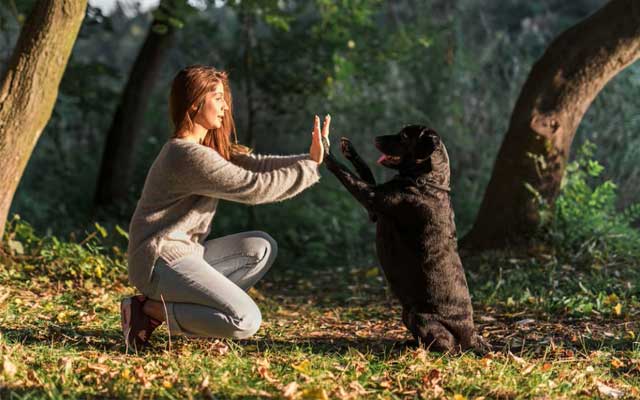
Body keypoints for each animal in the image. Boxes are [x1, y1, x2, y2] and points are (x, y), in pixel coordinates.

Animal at [322, 126, 488, 354]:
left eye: (403, 136)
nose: (376, 138)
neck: (427, 182)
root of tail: (472, 337)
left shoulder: (371, 197)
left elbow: (348, 174)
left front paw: (325, 152)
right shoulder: (373, 211)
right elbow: (365, 170)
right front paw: (349, 149)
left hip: (419, 317)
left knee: (448, 347)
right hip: (406, 314)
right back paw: (408, 344)